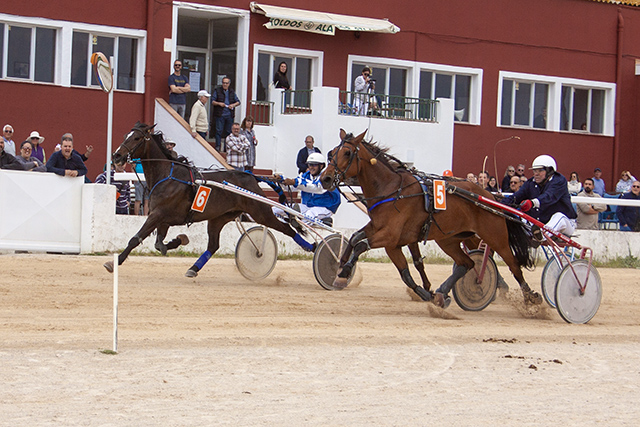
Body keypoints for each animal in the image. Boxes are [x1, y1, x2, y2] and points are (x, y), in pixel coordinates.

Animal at [106, 122, 314, 276]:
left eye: (137, 138)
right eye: (125, 135)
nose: (117, 155)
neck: (168, 175)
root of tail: (251, 176)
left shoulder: (157, 214)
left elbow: (136, 238)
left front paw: (115, 261)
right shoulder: (162, 217)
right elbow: (159, 243)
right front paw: (177, 241)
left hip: (261, 212)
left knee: (287, 228)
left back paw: (312, 246)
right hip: (219, 218)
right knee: (213, 245)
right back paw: (193, 269)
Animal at [319, 129, 541, 308]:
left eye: (347, 153)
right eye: (332, 152)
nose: (325, 178)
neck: (392, 190)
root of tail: (490, 196)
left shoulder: (390, 236)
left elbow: (361, 245)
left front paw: (344, 271)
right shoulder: (385, 235)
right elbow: (359, 240)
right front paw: (340, 265)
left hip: (495, 237)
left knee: (514, 266)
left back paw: (531, 298)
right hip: (449, 239)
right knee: (467, 263)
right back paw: (443, 293)